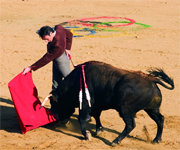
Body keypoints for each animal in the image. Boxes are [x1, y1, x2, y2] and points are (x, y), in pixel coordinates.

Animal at [45, 60, 174, 146]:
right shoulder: (96, 106)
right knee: (160, 119)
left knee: (130, 125)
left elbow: (82, 119)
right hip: (151, 109)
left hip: (125, 110)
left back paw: (115, 141)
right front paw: (99, 129)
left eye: (55, 104)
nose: (56, 120)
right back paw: (156, 140)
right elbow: (96, 116)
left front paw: (87, 135)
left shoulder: (86, 105)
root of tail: (152, 79)